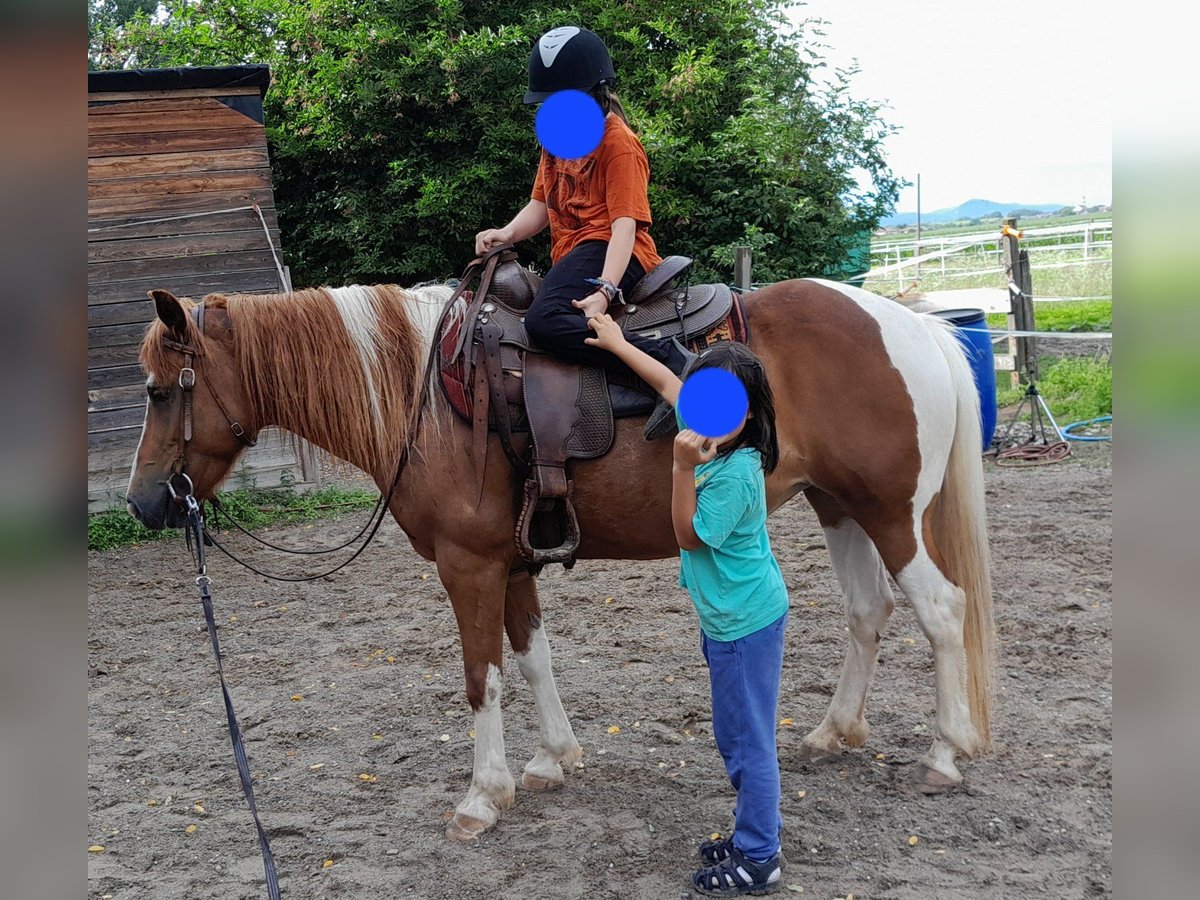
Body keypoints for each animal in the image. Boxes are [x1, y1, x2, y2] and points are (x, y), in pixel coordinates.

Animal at [126, 278, 998, 844]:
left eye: (162, 391)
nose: (142, 502)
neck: (423, 399)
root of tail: (908, 323)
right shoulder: (510, 566)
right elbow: (533, 656)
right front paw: (552, 759)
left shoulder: (467, 567)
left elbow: (481, 678)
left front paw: (484, 794)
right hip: (838, 505)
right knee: (868, 611)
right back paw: (831, 731)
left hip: (891, 513)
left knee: (941, 611)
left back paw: (946, 752)